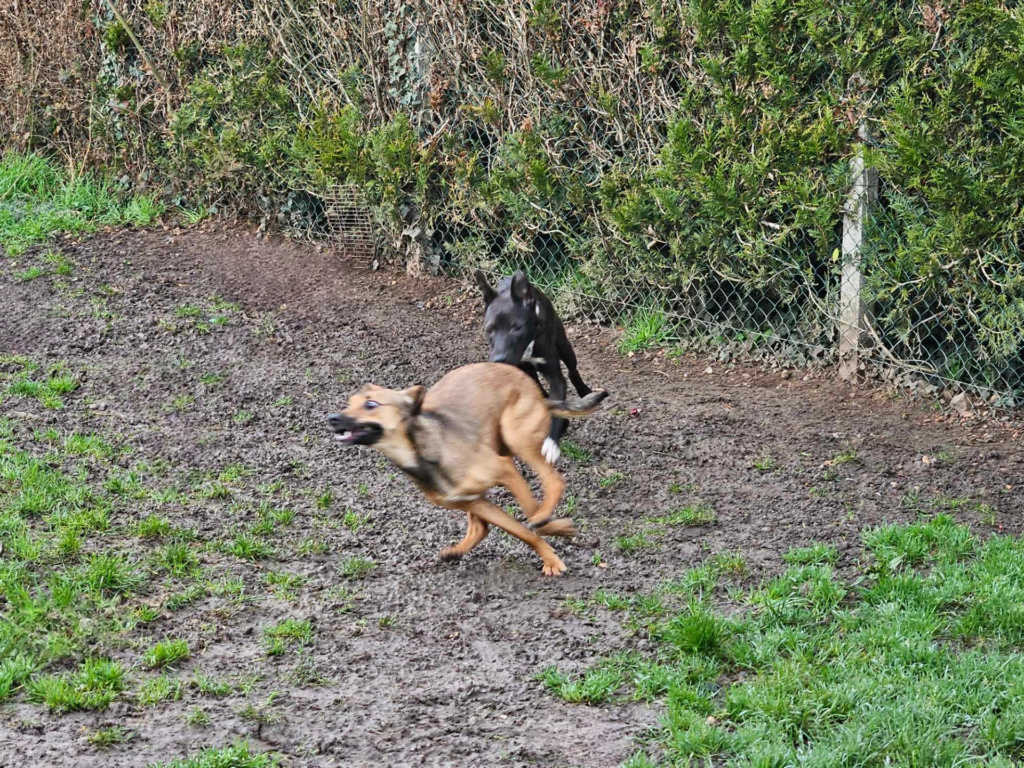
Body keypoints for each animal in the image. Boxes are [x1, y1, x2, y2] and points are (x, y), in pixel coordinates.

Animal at [325, 364, 606, 573]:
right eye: (348, 403)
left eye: (371, 404)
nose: (333, 418)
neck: (422, 450)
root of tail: (538, 392)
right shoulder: (472, 501)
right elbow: (521, 531)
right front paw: (550, 550)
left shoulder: (506, 471)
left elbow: (530, 514)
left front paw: (554, 532)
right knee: (481, 528)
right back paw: (456, 551)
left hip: (517, 437)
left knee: (554, 481)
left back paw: (546, 514)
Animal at [473, 270, 593, 462]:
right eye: (489, 330)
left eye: (517, 328)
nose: (499, 359)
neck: (528, 346)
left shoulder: (555, 377)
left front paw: (552, 443)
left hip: (565, 346)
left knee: (572, 370)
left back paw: (584, 390)